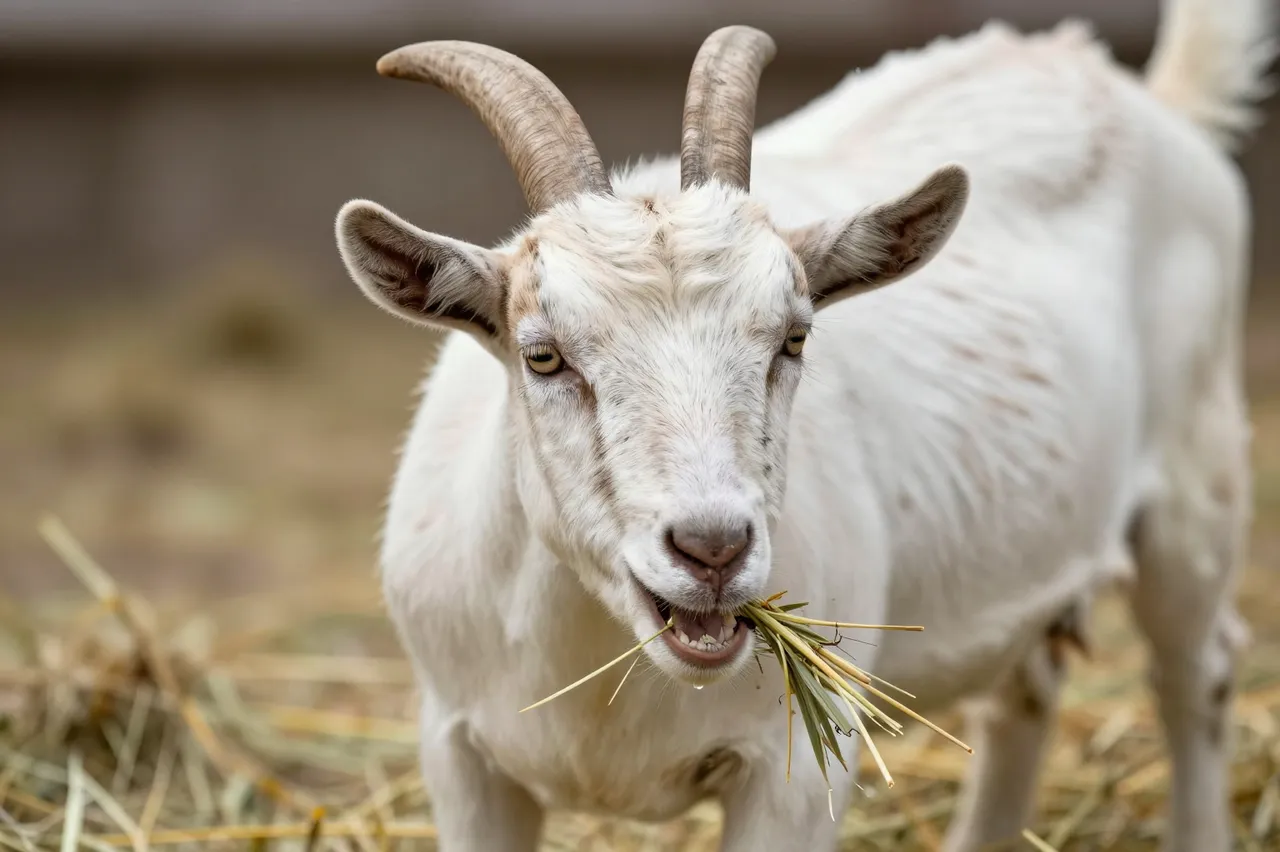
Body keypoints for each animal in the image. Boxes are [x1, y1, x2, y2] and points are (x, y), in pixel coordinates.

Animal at [334, 1, 1275, 849]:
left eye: (793, 338)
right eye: (543, 356)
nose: (712, 550)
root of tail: (1137, 89)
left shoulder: (795, 773)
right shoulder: (459, 754)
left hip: (1197, 482)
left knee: (1198, 672)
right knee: (1027, 688)